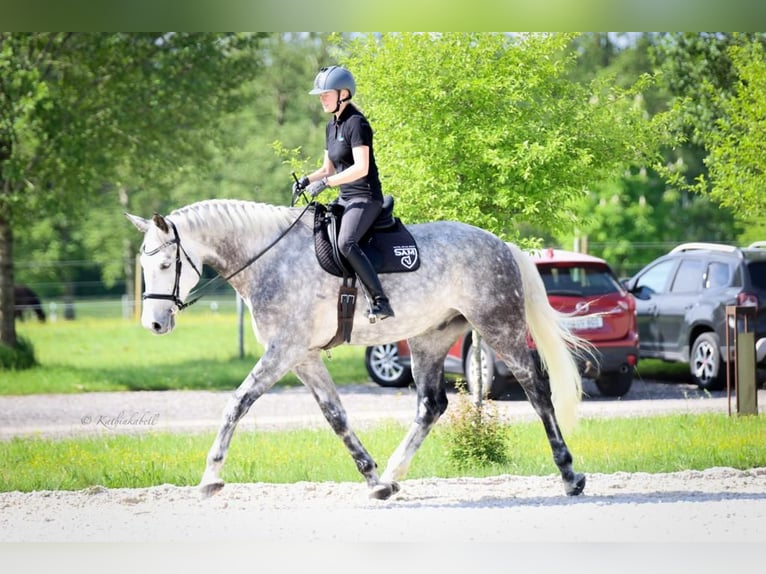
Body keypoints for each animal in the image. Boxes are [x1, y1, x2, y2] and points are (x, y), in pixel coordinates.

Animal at [129, 200, 592, 502]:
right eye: (144, 265)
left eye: (167, 265)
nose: (154, 324)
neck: (270, 259)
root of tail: (501, 244)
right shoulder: (303, 356)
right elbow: (335, 416)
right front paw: (372, 479)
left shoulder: (283, 351)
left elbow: (237, 403)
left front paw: (210, 476)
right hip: (429, 337)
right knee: (431, 405)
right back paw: (392, 475)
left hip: (499, 326)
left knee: (536, 388)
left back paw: (570, 475)